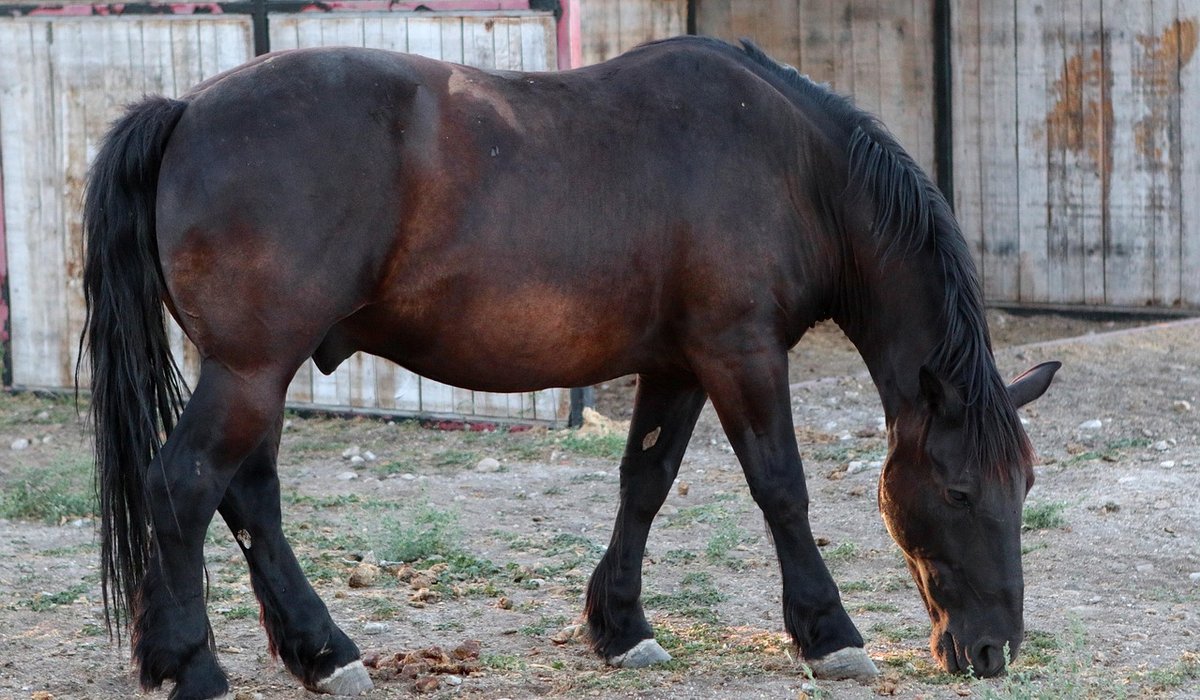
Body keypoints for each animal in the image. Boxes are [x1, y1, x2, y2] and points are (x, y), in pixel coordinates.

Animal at [81, 36, 1060, 699]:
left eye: (1025, 486)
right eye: (960, 490)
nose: (993, 651)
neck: (794, 167)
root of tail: (185, 110)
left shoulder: (679, 365)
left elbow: (644, 483)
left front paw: (621, 627)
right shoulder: (740, 353)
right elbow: (781, 487)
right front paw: (829, 634)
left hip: (253, 372)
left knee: (246, 499)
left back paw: (321, 652)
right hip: (250, 369)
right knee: (184, 487)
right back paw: (192, 666)